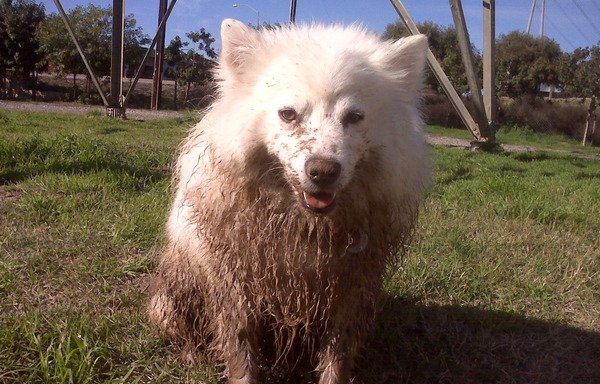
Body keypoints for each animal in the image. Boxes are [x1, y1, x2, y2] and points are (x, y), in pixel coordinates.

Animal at [150, 18, 432, 384]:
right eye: (288, 114)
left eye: (354, 116)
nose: (323, 171)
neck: (303, 227)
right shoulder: (233, 287)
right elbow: (240, 351)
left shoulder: (350, 289)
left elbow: (337, 357)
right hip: (173, 292)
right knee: (184, 331)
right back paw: (191, 356)